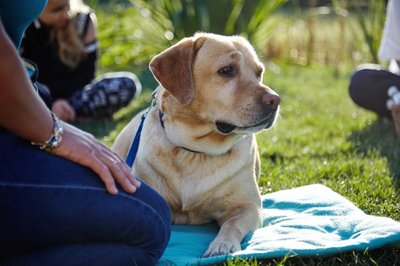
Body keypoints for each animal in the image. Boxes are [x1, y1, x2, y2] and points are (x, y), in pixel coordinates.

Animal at [111, 32, 282, 256]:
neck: (195, 151)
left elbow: (232, 225)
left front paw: (222, 244)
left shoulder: (248, 207)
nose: (275, 100)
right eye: (227, 70)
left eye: (259, 73)